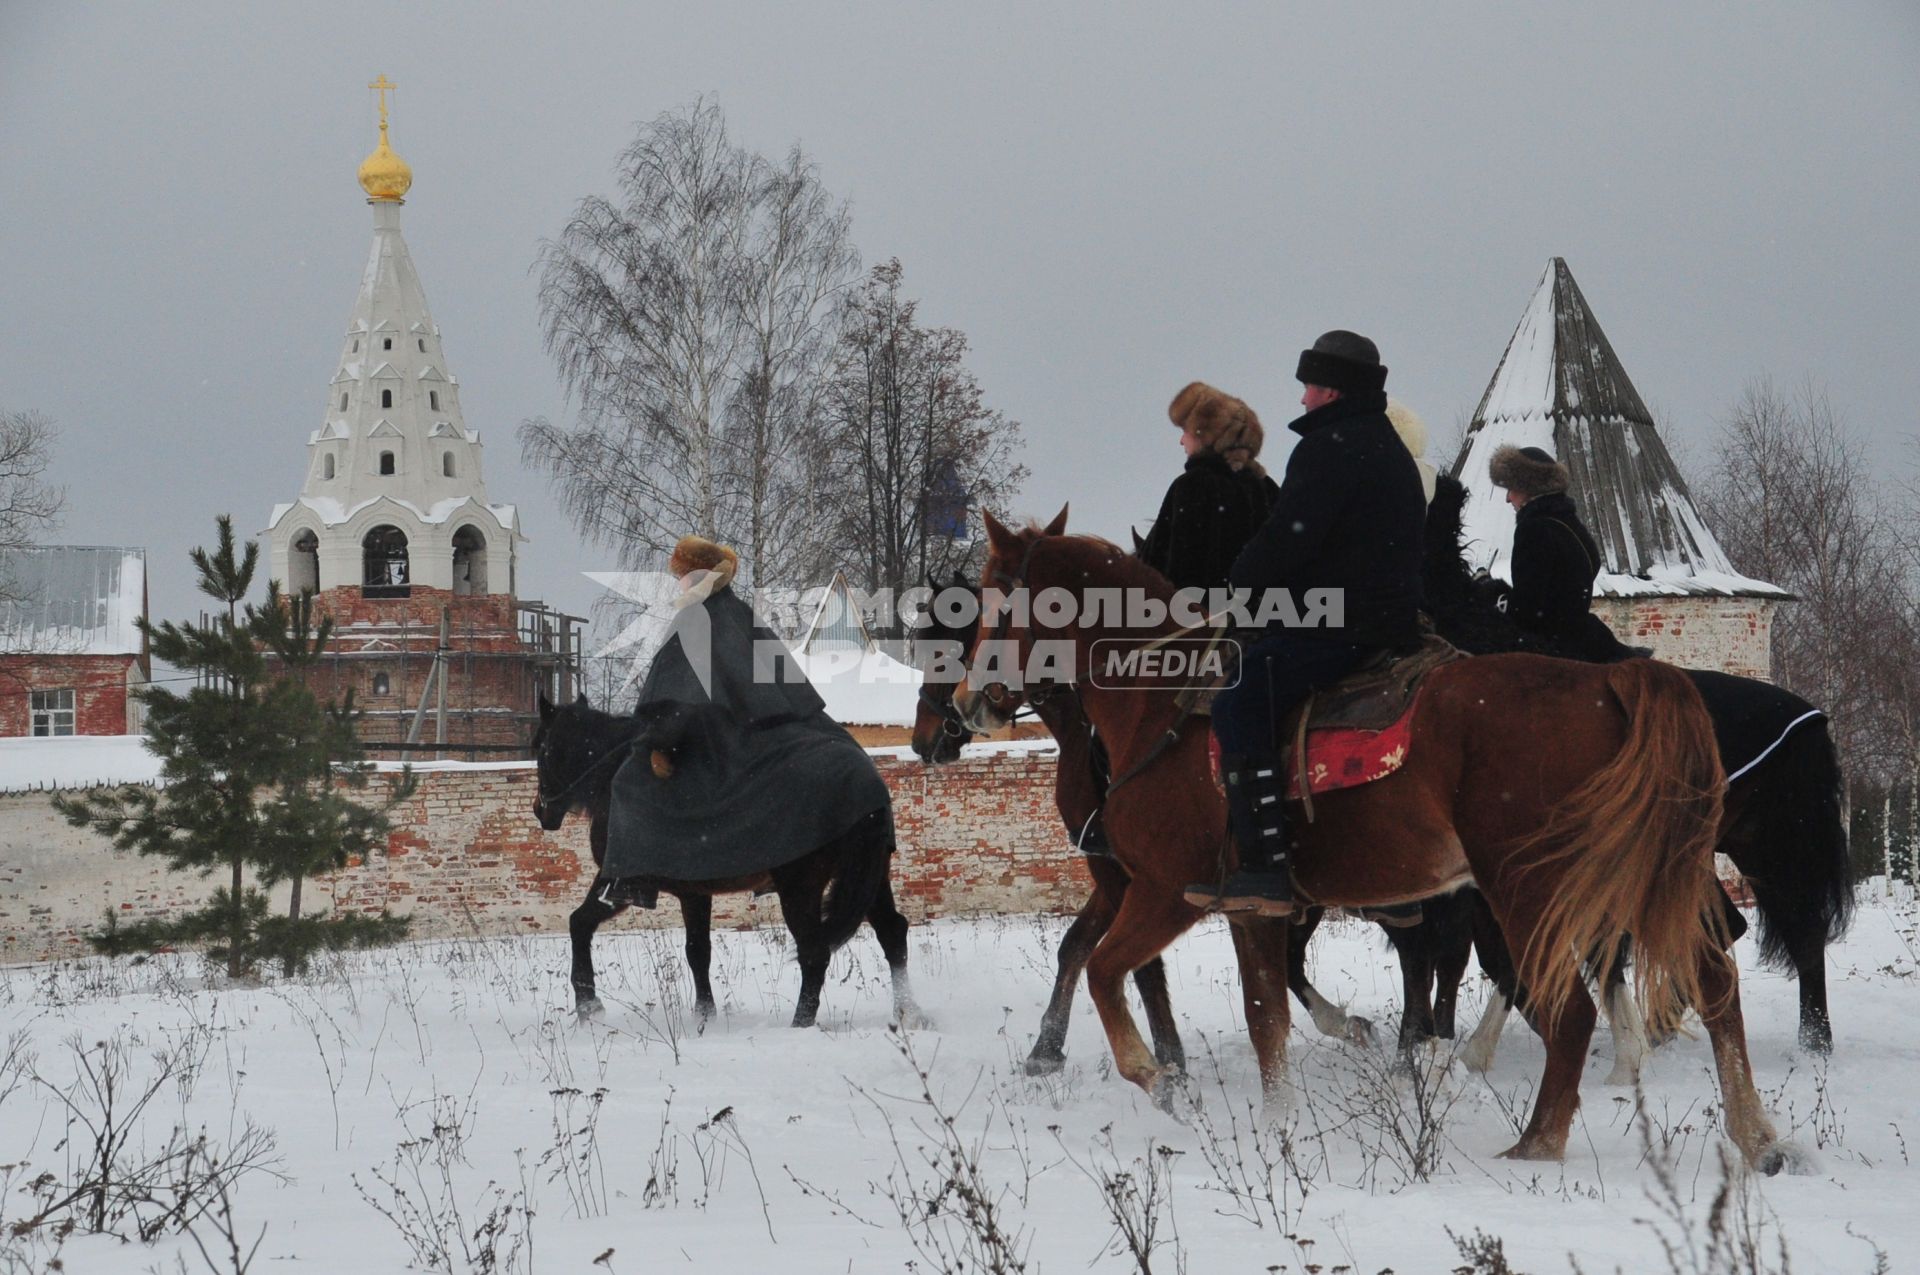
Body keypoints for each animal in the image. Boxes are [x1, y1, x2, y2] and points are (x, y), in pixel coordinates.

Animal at [522, 691, 917, 1029]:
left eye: (540, 747)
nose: (540, 810)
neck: (612, 775)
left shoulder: (618, 879)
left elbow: (579, 923)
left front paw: (588, 1007)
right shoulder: (694, 892)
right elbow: (698, 951)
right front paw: (705, 1016)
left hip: (800, 888)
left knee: (814, 951)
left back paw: (800, 1024)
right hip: (869, 878)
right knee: (892, 933)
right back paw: (908, 1012)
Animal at [956, 506, 1781, 1167]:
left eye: (996, 595)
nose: (969, 702)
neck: (1167, 704)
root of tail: (1607, 684)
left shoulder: (1164, 892)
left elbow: (1104, 970)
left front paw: (1158, 1080)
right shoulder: (1252, 910)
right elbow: (1266, 1015)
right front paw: (1278, 1122)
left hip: (1532, 888)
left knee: (1571, 1009)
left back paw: (1538, 1143)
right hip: (1634, 875)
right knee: (1713, 982)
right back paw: (1754, 1136)